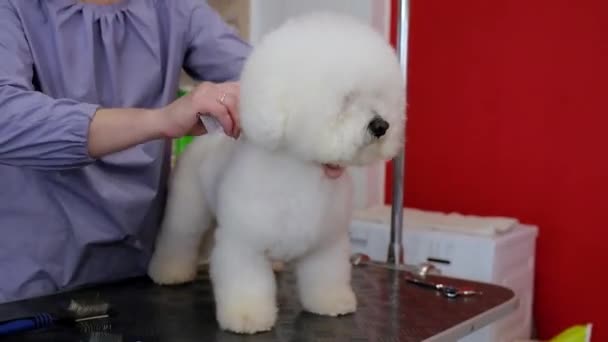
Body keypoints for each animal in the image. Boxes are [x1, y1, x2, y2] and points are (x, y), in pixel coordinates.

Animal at [147, 10, 404, 334]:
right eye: (346, 99)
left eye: (379, 96)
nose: (381, 125)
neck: (301, 170)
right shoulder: (243, 244)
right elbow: (246, 283)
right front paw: (247, 317)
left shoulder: (327, 244)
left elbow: (326, 276)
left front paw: (332, 302)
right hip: (188, 208)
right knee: (179, 238)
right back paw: (169, 272)